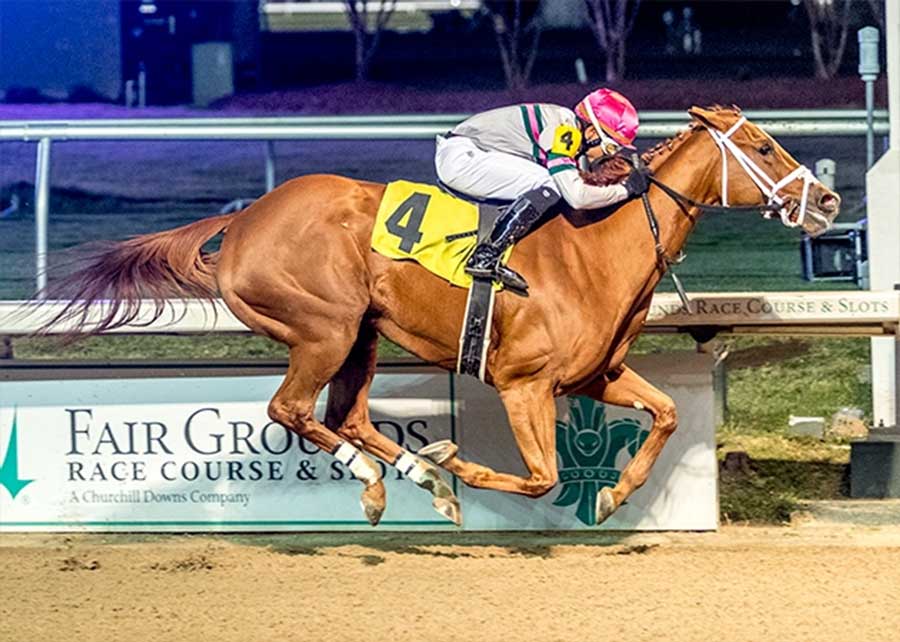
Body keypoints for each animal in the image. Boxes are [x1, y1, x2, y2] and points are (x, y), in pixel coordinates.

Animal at [35, 105, 836, 524]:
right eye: (762, 146)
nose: (827, 201)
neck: (594, 246)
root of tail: (244, 219)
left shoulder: (595, 376)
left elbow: (666, 415)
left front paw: (612, 495)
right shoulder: (523, 383)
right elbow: (540, 476)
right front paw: (461, 464)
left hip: (360, 336)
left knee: (347, 415)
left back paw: (412, 476)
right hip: (323, 328)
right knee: (292, 409)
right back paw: (401, 476)